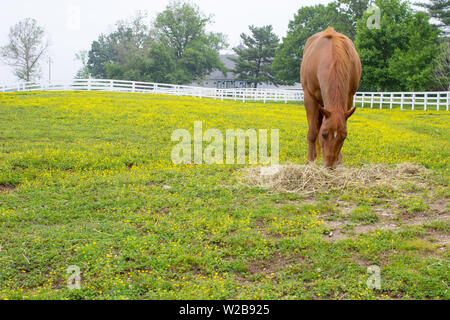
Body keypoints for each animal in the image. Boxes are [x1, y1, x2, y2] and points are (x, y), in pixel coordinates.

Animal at [298, 26, 362, 170]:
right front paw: (309, 162)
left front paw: (339, 161)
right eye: (324, 134)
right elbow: (312, 132)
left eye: (344, 137)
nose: (329, 166)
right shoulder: (310, 98)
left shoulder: (348, 98)